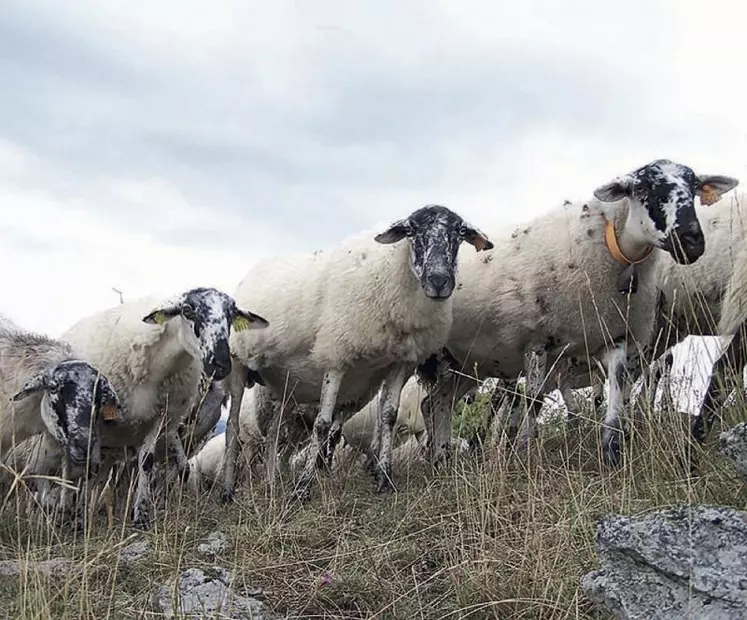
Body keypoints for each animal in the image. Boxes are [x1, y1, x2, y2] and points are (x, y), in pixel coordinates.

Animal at [60, 288, 268, 524]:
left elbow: (151, 462)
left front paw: (141, 513)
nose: (221, 364)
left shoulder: (161, 418)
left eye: (231, 315)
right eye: (187, 310)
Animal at [228, 206, 496, 502]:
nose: (439, 281)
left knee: (275, 433)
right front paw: (302, 488)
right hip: (238, 363)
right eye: (410, 230)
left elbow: (388, 416)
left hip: (284, 386)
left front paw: (385, 478)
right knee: (232, 428)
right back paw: (227, 490)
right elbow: (322, 424)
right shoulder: (336, 354)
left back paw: (272, 482)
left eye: (460, 232)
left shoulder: (400, 362)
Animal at [418, 157, 740, 468]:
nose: (692, 242)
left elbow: (615, 397)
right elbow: (533, 402)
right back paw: (440, 456)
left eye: (695, 187)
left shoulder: (613, 337)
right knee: (439, 402)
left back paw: (441, 461)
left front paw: (612, 454)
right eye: (641, 188)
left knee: (436, 402)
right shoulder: (537, 341)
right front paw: (523, 455)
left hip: (465, 362)